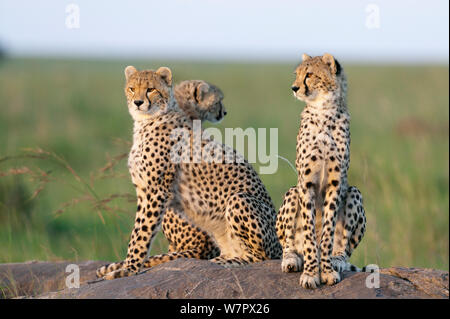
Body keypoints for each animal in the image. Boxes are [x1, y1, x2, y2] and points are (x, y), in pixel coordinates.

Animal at [96, 65, 282, 280]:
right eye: (132, 89)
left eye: (151, 89)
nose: (138, 102)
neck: (149, 120)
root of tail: (280, 246)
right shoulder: (144, 190)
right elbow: (139, 229)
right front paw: (128, 266)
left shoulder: (156, 191)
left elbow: (141, 232)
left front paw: (129, 268)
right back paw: (219, 260)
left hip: (239, 200)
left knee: (261, 257)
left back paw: (229, 261)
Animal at [274, 53, 366, 288]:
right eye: (297, 74)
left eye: (309, 75)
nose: (294, 87)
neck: (324, 112)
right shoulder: (306, 184)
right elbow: (308, 234)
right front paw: (310, 273)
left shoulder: (335, 184)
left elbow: (327, 233)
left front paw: (326, 270)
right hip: (292, 193)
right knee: (288, 241)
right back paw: (291, 259)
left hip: (354, 192)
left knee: (345, 246)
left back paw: (337, 260)